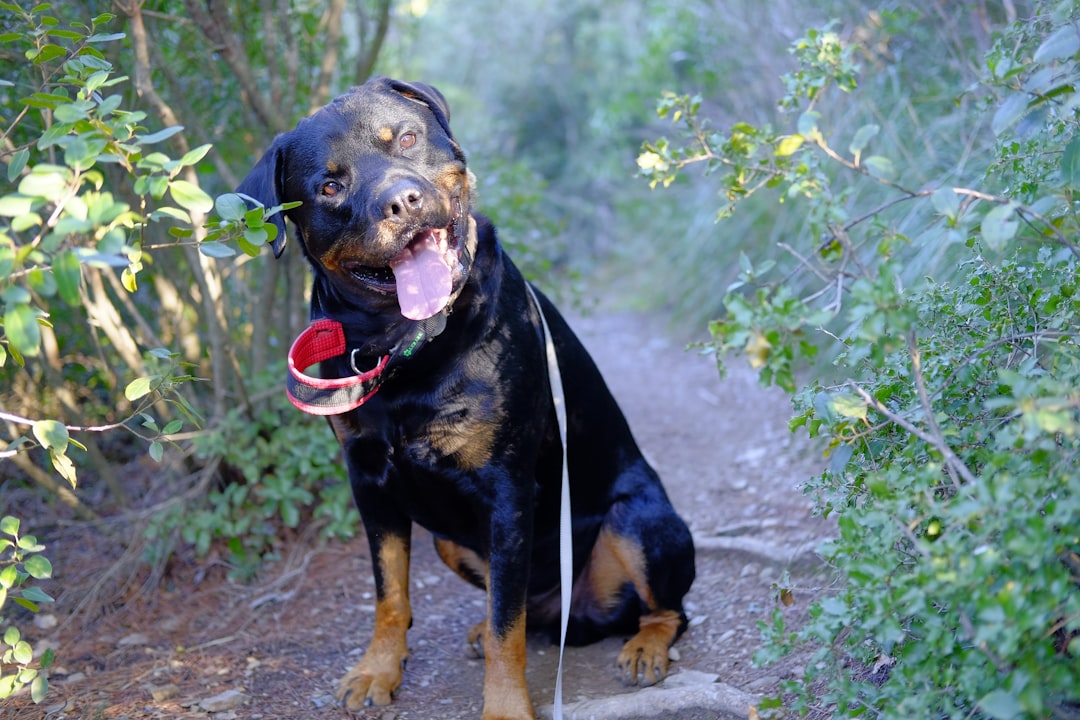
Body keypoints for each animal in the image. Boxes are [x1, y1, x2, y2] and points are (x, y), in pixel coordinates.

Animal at [237, 76, 695, 716]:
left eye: (406, 138)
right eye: (330, 186)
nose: (402, 201)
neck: (402, 345)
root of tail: (577, 617)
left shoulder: (505, 488)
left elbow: (507, 625)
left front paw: (504, 705)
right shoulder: (369, 481)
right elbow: (390, 591)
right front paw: (378, 670)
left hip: (638, 521)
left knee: (663, 609)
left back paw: (645, 647)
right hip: (450, 543)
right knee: (528, 611)